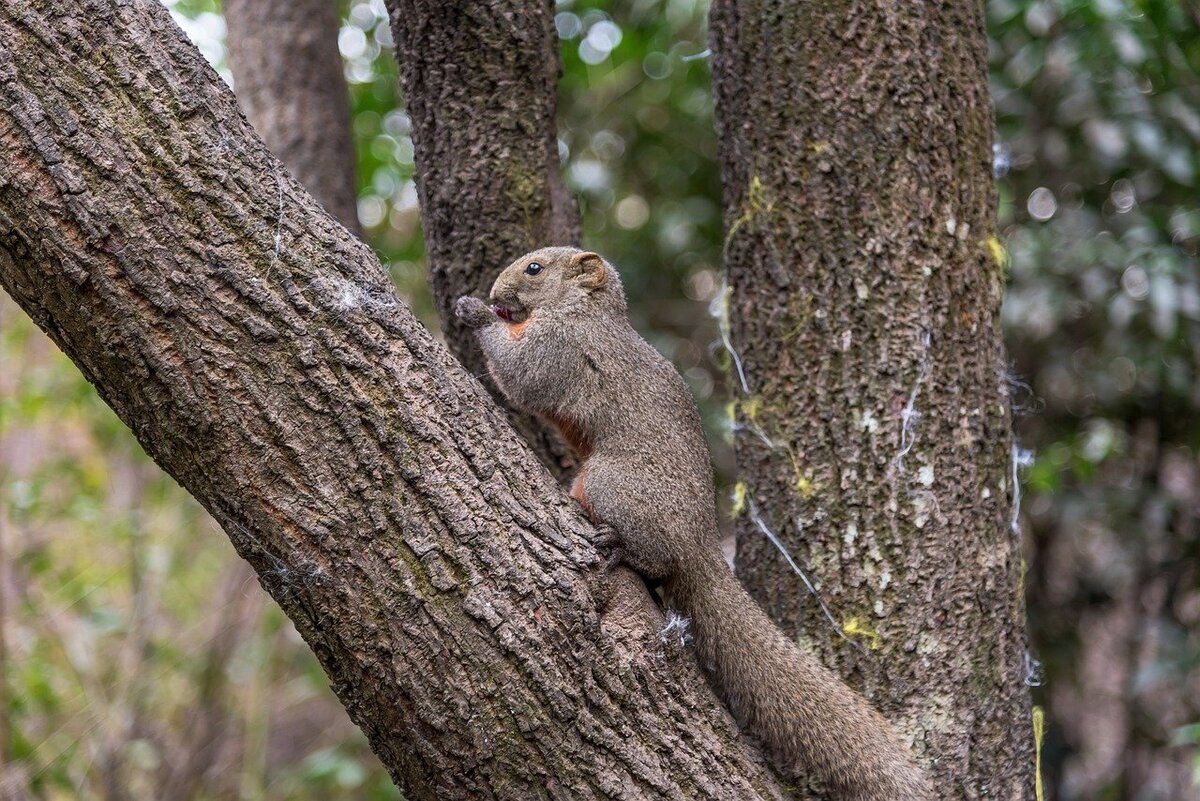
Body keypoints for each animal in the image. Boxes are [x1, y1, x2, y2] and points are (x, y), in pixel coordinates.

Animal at [453, 247, 931, 796]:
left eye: (534, 269)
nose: (495, 292)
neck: (585, 311)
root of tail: (701, 545)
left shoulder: (561, 348)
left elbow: (520, 374)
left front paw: (474, 312)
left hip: (613, 483)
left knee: (654, 557)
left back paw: (620, 546)